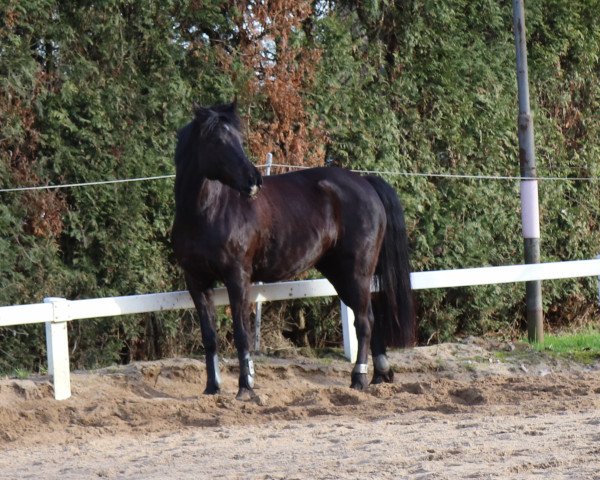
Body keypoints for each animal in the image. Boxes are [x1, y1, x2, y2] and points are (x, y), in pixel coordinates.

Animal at [173, 103, 414, 400]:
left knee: (364, 320)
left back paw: (358, 379)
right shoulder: (196, 282)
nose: (254, 180)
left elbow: (241, 333)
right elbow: (209, 337)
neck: (207, 212)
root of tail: (365, 183)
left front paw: (246, 388)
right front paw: (211, 388)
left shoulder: (237, 278)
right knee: (372, 317)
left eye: (239, 140)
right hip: (340, 272)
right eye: (217, 140)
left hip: (356, 271)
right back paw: (379, 375)